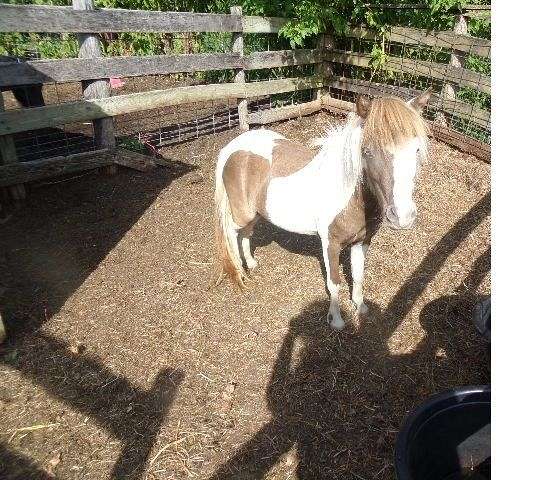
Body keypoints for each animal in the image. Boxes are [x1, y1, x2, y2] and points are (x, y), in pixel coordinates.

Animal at [215, 91, 432, 328]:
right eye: (367, 151)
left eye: (417, 149)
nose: (402, 217)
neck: (347, 192)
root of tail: (232, 148)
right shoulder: (330, 243)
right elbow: (334, 282)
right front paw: (336, 321)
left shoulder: (362, 242)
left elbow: (358, 276)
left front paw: (361, 307)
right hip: (241, 212)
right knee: (231, 232)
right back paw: (239, 272)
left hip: (255, 212)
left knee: (246, 233)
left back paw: (252, 263)